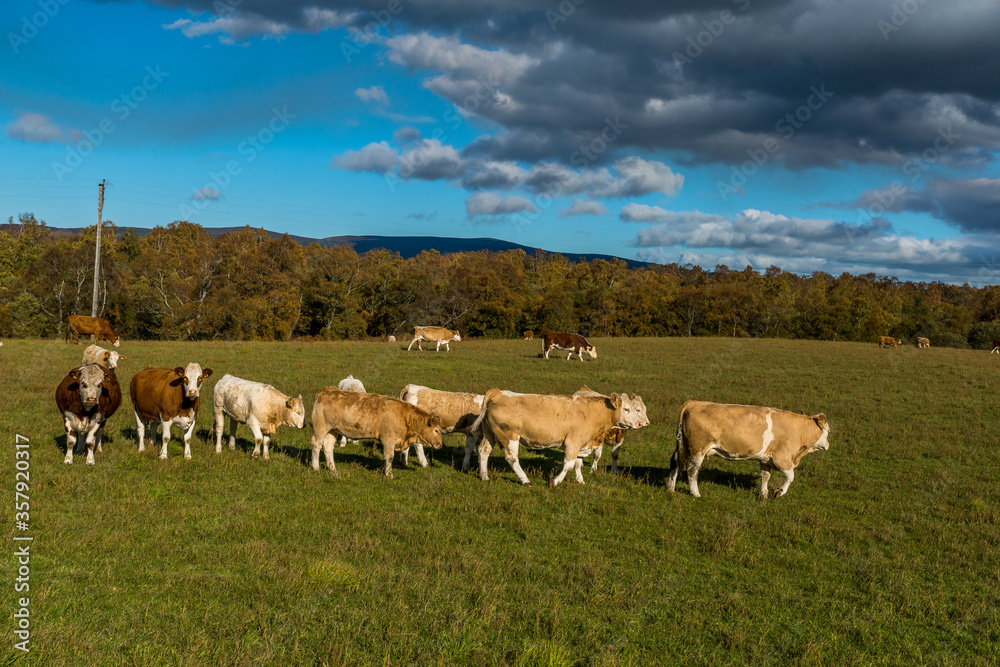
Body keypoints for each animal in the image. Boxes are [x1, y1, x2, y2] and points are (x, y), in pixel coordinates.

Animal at [310, 388, 443, 478]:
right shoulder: (388, 439)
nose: (440, 445)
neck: (405, 417)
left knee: (328, 447)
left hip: (333, 430)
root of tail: (325, 390)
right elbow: (389, 457)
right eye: (436, 430)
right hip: (321, 428)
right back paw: (316, 467)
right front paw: (389, 474)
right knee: (316, 445)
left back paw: (333, 469)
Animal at [471, 389, 650, 486]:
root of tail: (497, 393)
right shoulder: (573, 443)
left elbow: (578, 464)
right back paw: (525, 480)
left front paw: (580, 481)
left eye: (636, 408)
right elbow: (568, 465)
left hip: (490, 433)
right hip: (510, 436)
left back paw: (484, 476)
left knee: (483, 451)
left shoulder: (581, 445)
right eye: (626, 409)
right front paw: (555, 482)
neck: (590, 413)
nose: (641, 423)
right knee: (512, 458)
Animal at [667, 401, 830, 499]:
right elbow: (790, 476)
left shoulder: (766, 459)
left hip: (682, 446)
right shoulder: (781, 459)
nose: (828, 445)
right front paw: (779, 492)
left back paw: (670, 488)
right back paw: (695, 493)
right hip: (698, 449)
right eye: (828, 431)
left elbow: (765, 476)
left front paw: (763, 494)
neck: (797, 430)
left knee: (674, 463)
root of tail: (693, 403)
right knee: (692, 470)